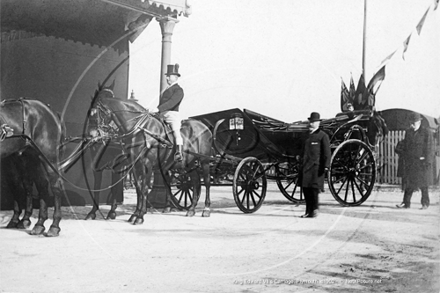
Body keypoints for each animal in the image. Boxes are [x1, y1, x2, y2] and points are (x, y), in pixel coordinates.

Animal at [0, 97, 65, 235]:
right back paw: (39, 224)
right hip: (33, 158)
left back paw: (54, 226)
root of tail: (50, 111)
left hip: (48, 157)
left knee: (55, 186)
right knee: (40, 185)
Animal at [86, 85, 213, 222]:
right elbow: (138, 188)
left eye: (96, 114)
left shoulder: (146, 164)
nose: (91, 136)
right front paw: (135, 213)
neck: (140, 129)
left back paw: (206, 209)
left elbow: (144, 188)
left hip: (204, 161)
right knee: (195, 181)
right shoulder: (134, 165)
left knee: (206, 182)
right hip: (189, 164)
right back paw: (191, 209)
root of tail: (204, 126)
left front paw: (140, 215)